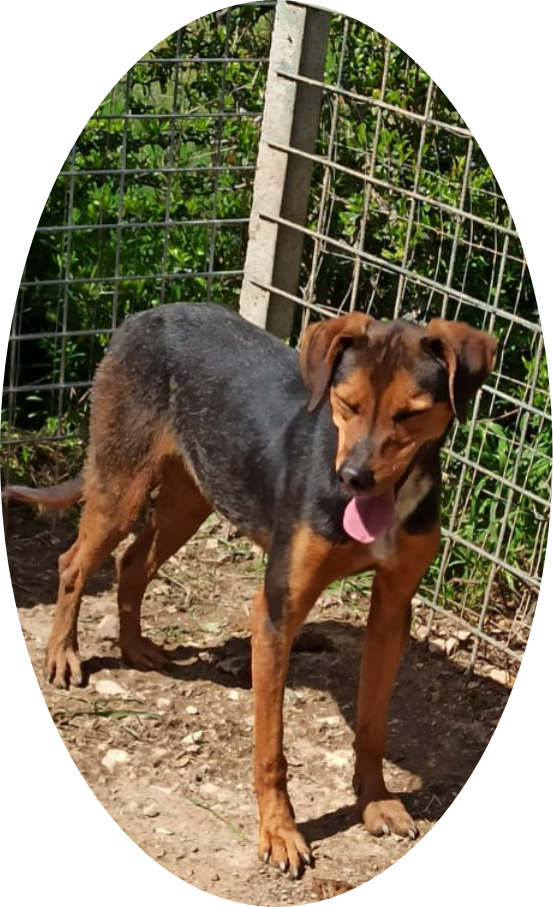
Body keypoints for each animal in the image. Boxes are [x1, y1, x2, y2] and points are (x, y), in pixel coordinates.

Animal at [3, 302, 497, 876]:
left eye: (410, 413)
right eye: (346, 404)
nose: (353, 478)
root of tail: (145, 315)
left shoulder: (392, 611)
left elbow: (373, 726)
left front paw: (375, 801)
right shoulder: (277, 610)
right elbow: (271, 749)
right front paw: (279, 833)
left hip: (191, 496)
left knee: (132, 563)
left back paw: (135, 648)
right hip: (123, 486)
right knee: (73, 564)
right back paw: (63, 654)